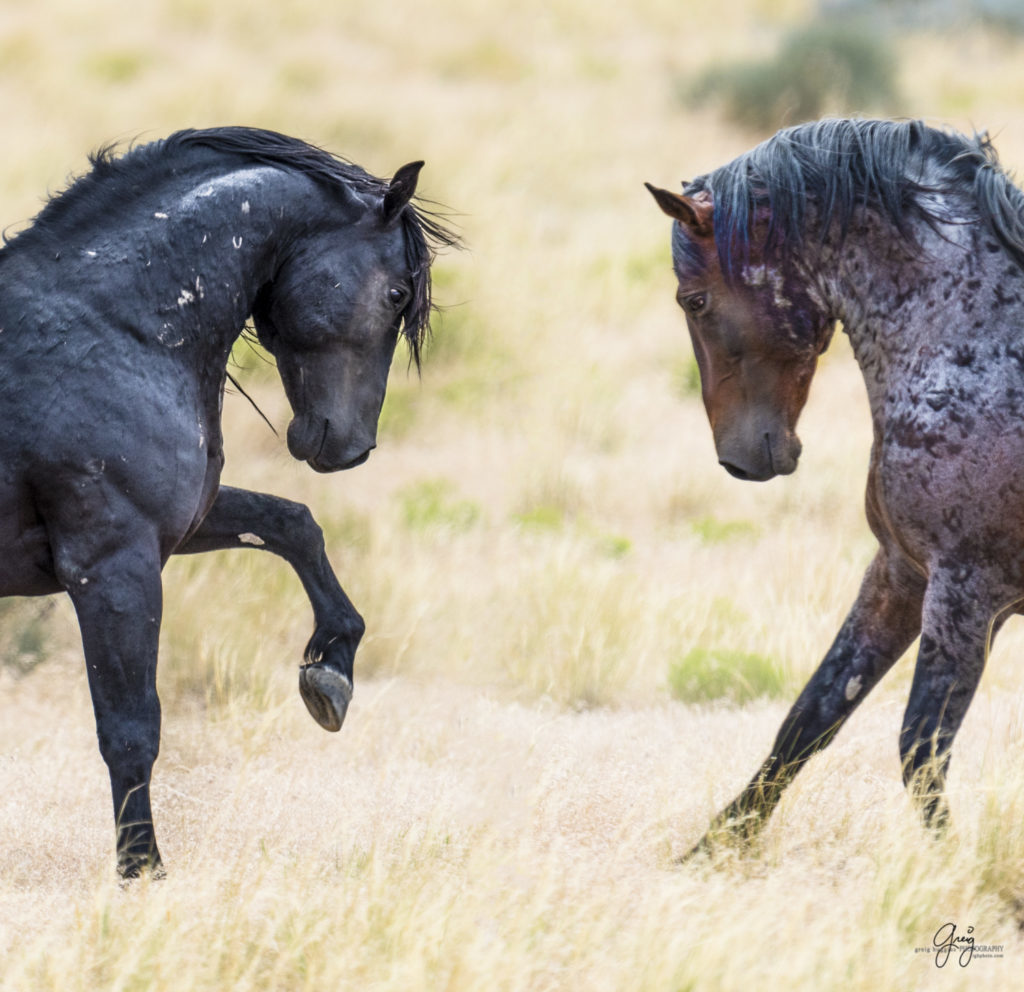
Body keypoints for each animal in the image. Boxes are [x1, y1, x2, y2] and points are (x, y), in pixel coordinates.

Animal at [0, 125, 456, 876]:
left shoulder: (179, 527)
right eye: (396, 294)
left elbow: (292, 524)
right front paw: (142, 871)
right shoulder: (113, 566)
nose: (352, 447)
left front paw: (330, 671)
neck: (112, 329)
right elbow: (130, 729)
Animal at [651, 119, 1024, 855]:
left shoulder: (967, 591)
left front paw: (960, 871)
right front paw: (711, 851)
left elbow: (919, 748)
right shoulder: (901, 574)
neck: (979, 351)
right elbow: (809, 720)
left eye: (695, 300)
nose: (738, 460)